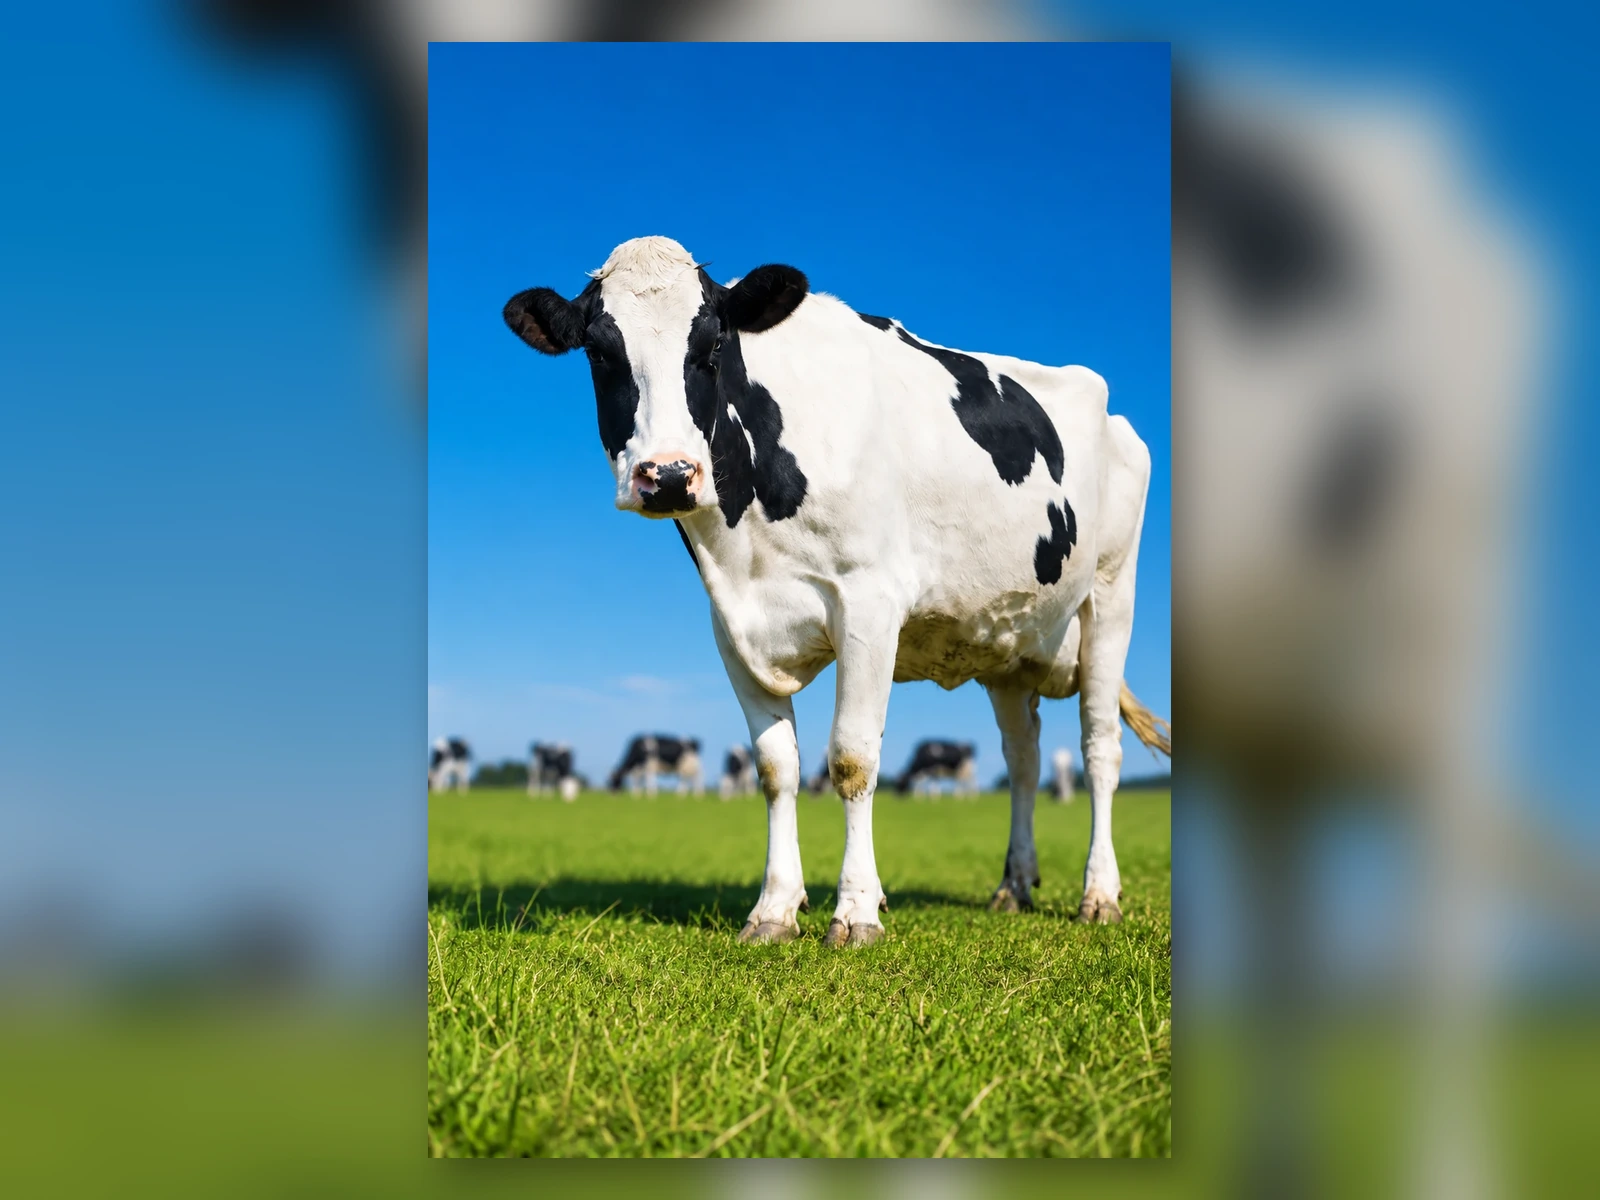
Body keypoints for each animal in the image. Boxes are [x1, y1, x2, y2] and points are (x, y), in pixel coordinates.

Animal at [504, 235, 1169, 943]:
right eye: (600, 352)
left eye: (712, 347)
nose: (670, 475)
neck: (747, 547)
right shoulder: (731, 627)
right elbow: (776, 768)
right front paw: (774, 908)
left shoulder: (869, 605)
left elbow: (852, 759)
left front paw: (855, 911)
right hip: (1007, 644)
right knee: (1023, 759)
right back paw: (1013, 885)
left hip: (1111, 596)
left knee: (1100, 749)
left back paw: (1099, 894)